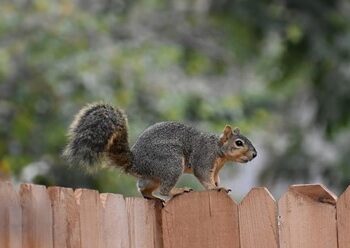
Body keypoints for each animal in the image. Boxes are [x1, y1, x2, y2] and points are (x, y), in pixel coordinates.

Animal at [63, 102, 256, 200]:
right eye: (239, 143)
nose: (255, 154)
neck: (218, 152)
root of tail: (135, 162)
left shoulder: (215, 169)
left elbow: (215, 178)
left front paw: (220, 185)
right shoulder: (204, 158)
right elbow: (204, 177)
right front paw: (215, 188)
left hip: (153, 176)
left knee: (144, 189)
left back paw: (153, 198)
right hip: (171, 164)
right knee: (164, 190)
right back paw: (176, 191)